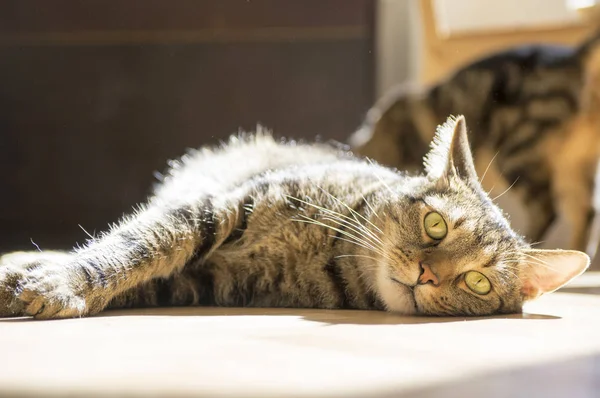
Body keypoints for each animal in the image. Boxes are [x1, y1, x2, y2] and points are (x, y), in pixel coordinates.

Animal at [0, 115, 588, 318]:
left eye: (478, 283)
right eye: (436, 225)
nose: (426, 275)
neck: (331, 257)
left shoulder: (203, 283)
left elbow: (140, 278)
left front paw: (46, 288)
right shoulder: (214, 209)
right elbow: (131, 248)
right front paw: (60, 281)